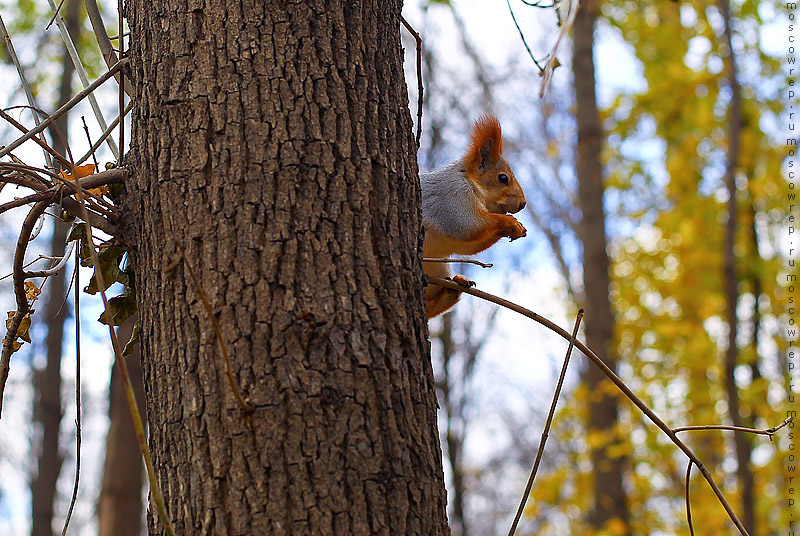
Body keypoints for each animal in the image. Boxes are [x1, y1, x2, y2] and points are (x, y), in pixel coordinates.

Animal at [422, 114, 528, 318]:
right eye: (503, 178)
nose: (522, 204)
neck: (470, 182)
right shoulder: (452, 198)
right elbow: (468, 226)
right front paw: (510, 222)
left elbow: (468, 246)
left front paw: (515, 229)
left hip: (438, 267)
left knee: (429, 308)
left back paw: (452, 289)